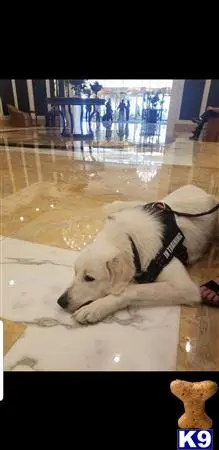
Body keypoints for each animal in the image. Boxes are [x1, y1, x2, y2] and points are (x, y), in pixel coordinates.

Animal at [57, 185, 218, 326]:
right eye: (75, 272)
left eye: (89, 278)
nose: (60, 301)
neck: (130, 239)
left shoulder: (185, 287)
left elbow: (131, 290)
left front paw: (96, 308)